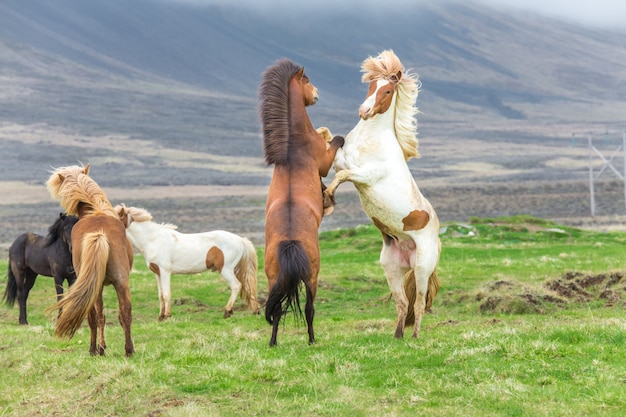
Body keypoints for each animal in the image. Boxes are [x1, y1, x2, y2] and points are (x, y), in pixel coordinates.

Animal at [45, 164, 135, 356]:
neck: (95, 209)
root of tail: (99, 233)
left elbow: (99, 315)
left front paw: (102, 347)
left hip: (99, 285)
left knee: (97, 315)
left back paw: (95, 349)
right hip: (120, 281)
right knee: (124, 312)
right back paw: (127, 350)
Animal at [113, 203, 260, 320]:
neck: (152, 239)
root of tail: (240, 240)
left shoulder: (165, 271)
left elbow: (166, 294)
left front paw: (167, 316)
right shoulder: (157, 273)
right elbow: (160, 295)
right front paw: (160, 317)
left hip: (226, 269)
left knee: (236, 285)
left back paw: (227, 312)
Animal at [258, 57, 346, 344]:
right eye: (306, 80)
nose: (316, 94)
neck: (293, 145)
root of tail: (290, 244)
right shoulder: (324, 163)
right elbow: (334, 139)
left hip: (274, 277)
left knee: (275, 310)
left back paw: (273, 342)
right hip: (312, 277)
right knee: (309, 308)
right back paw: (311, 339)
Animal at [324, 50, 442, 340]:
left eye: (387, 91)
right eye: (370, 86)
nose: (364, 111)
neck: (370, 140)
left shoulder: (366, 175)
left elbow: (342, 177)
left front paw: (328, 199)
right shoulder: (342, 161)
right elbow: (328, 139)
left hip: (422, 267)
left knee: (419, 302)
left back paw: (415, 337)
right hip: (392, 268)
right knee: (402, 302)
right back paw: (397, 336)